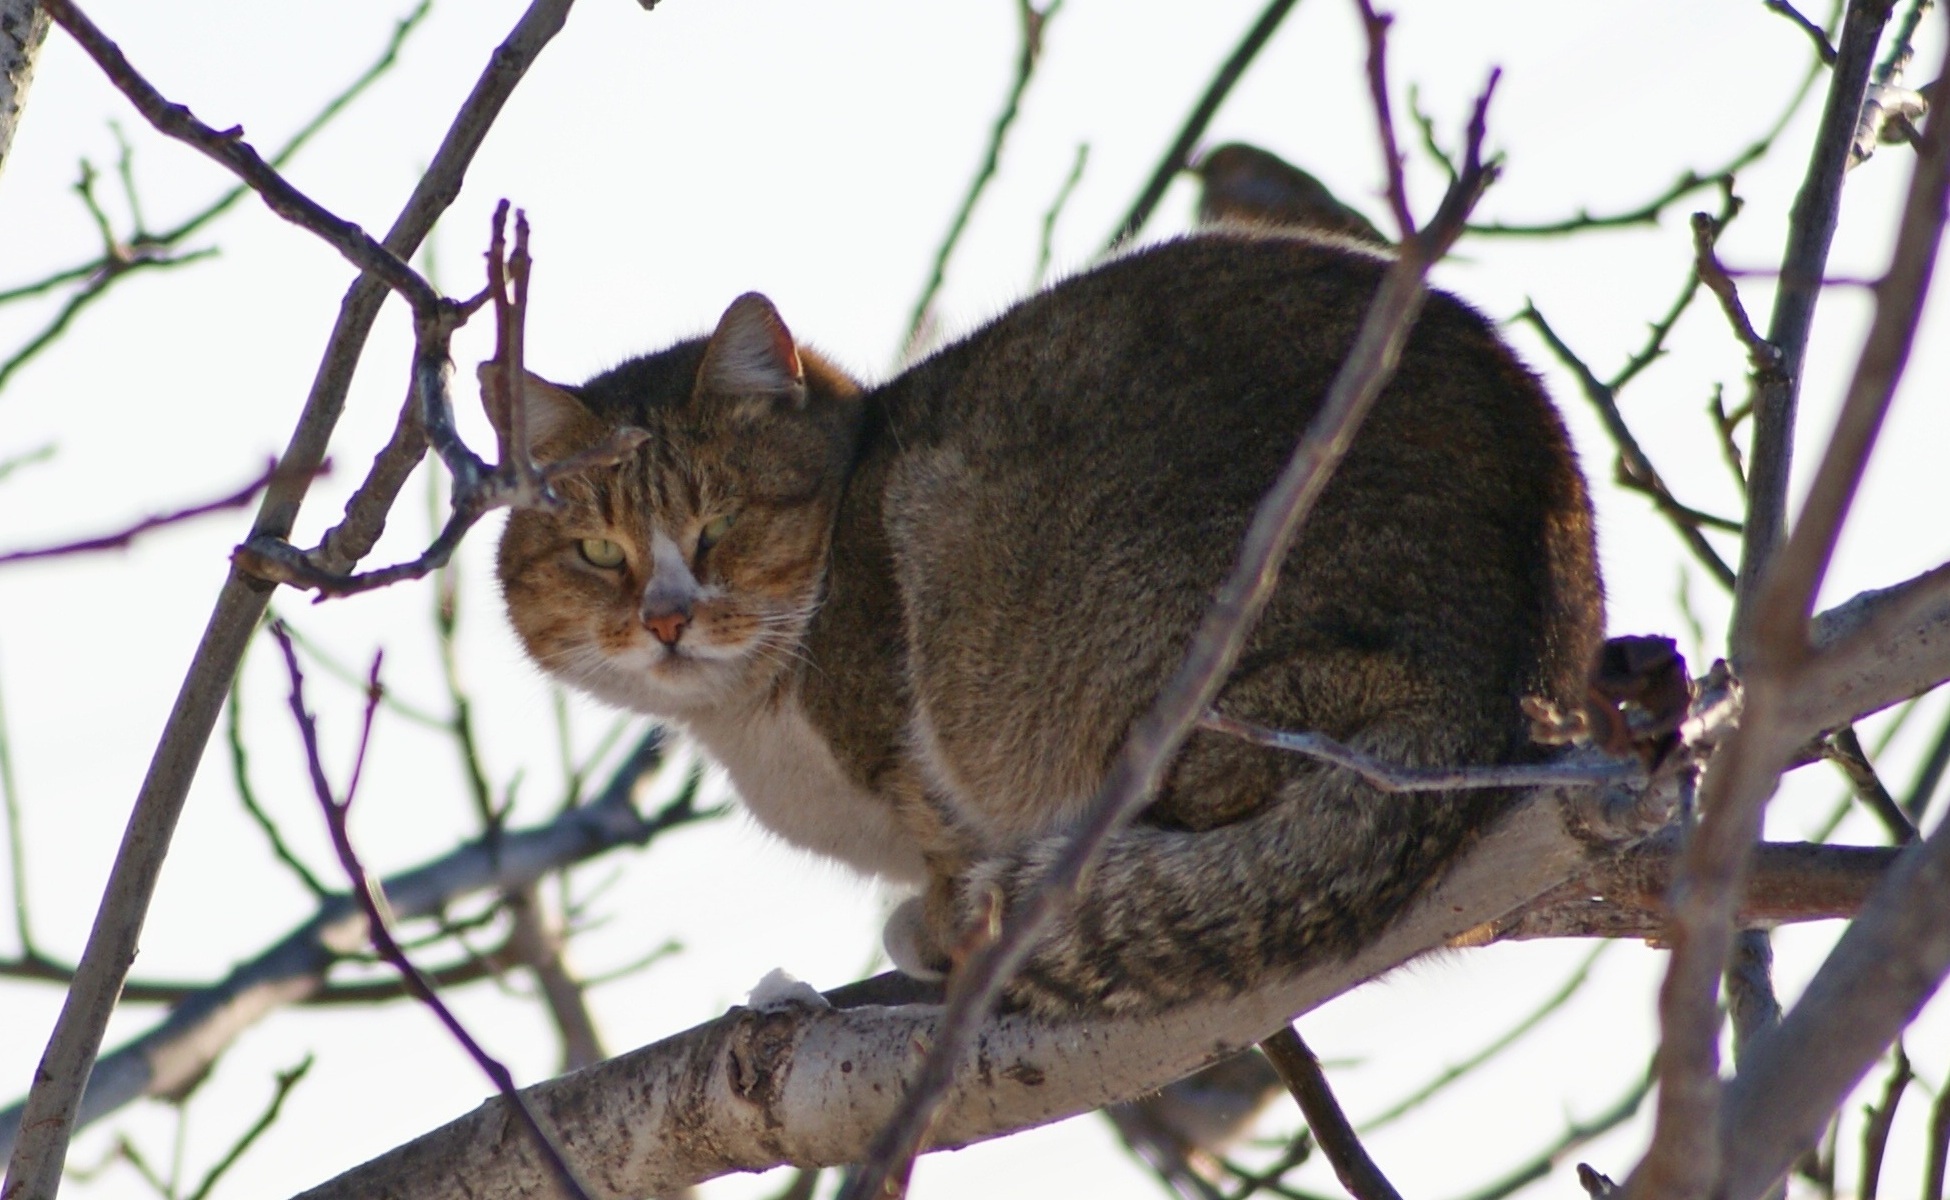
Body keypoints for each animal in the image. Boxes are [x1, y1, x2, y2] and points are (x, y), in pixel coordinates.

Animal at [495, 230, 1606, 1022]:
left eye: (719, 526)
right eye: (598, 553)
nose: (667, 620)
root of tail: (1490, 676)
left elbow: (943, 832)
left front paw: (937, 921)